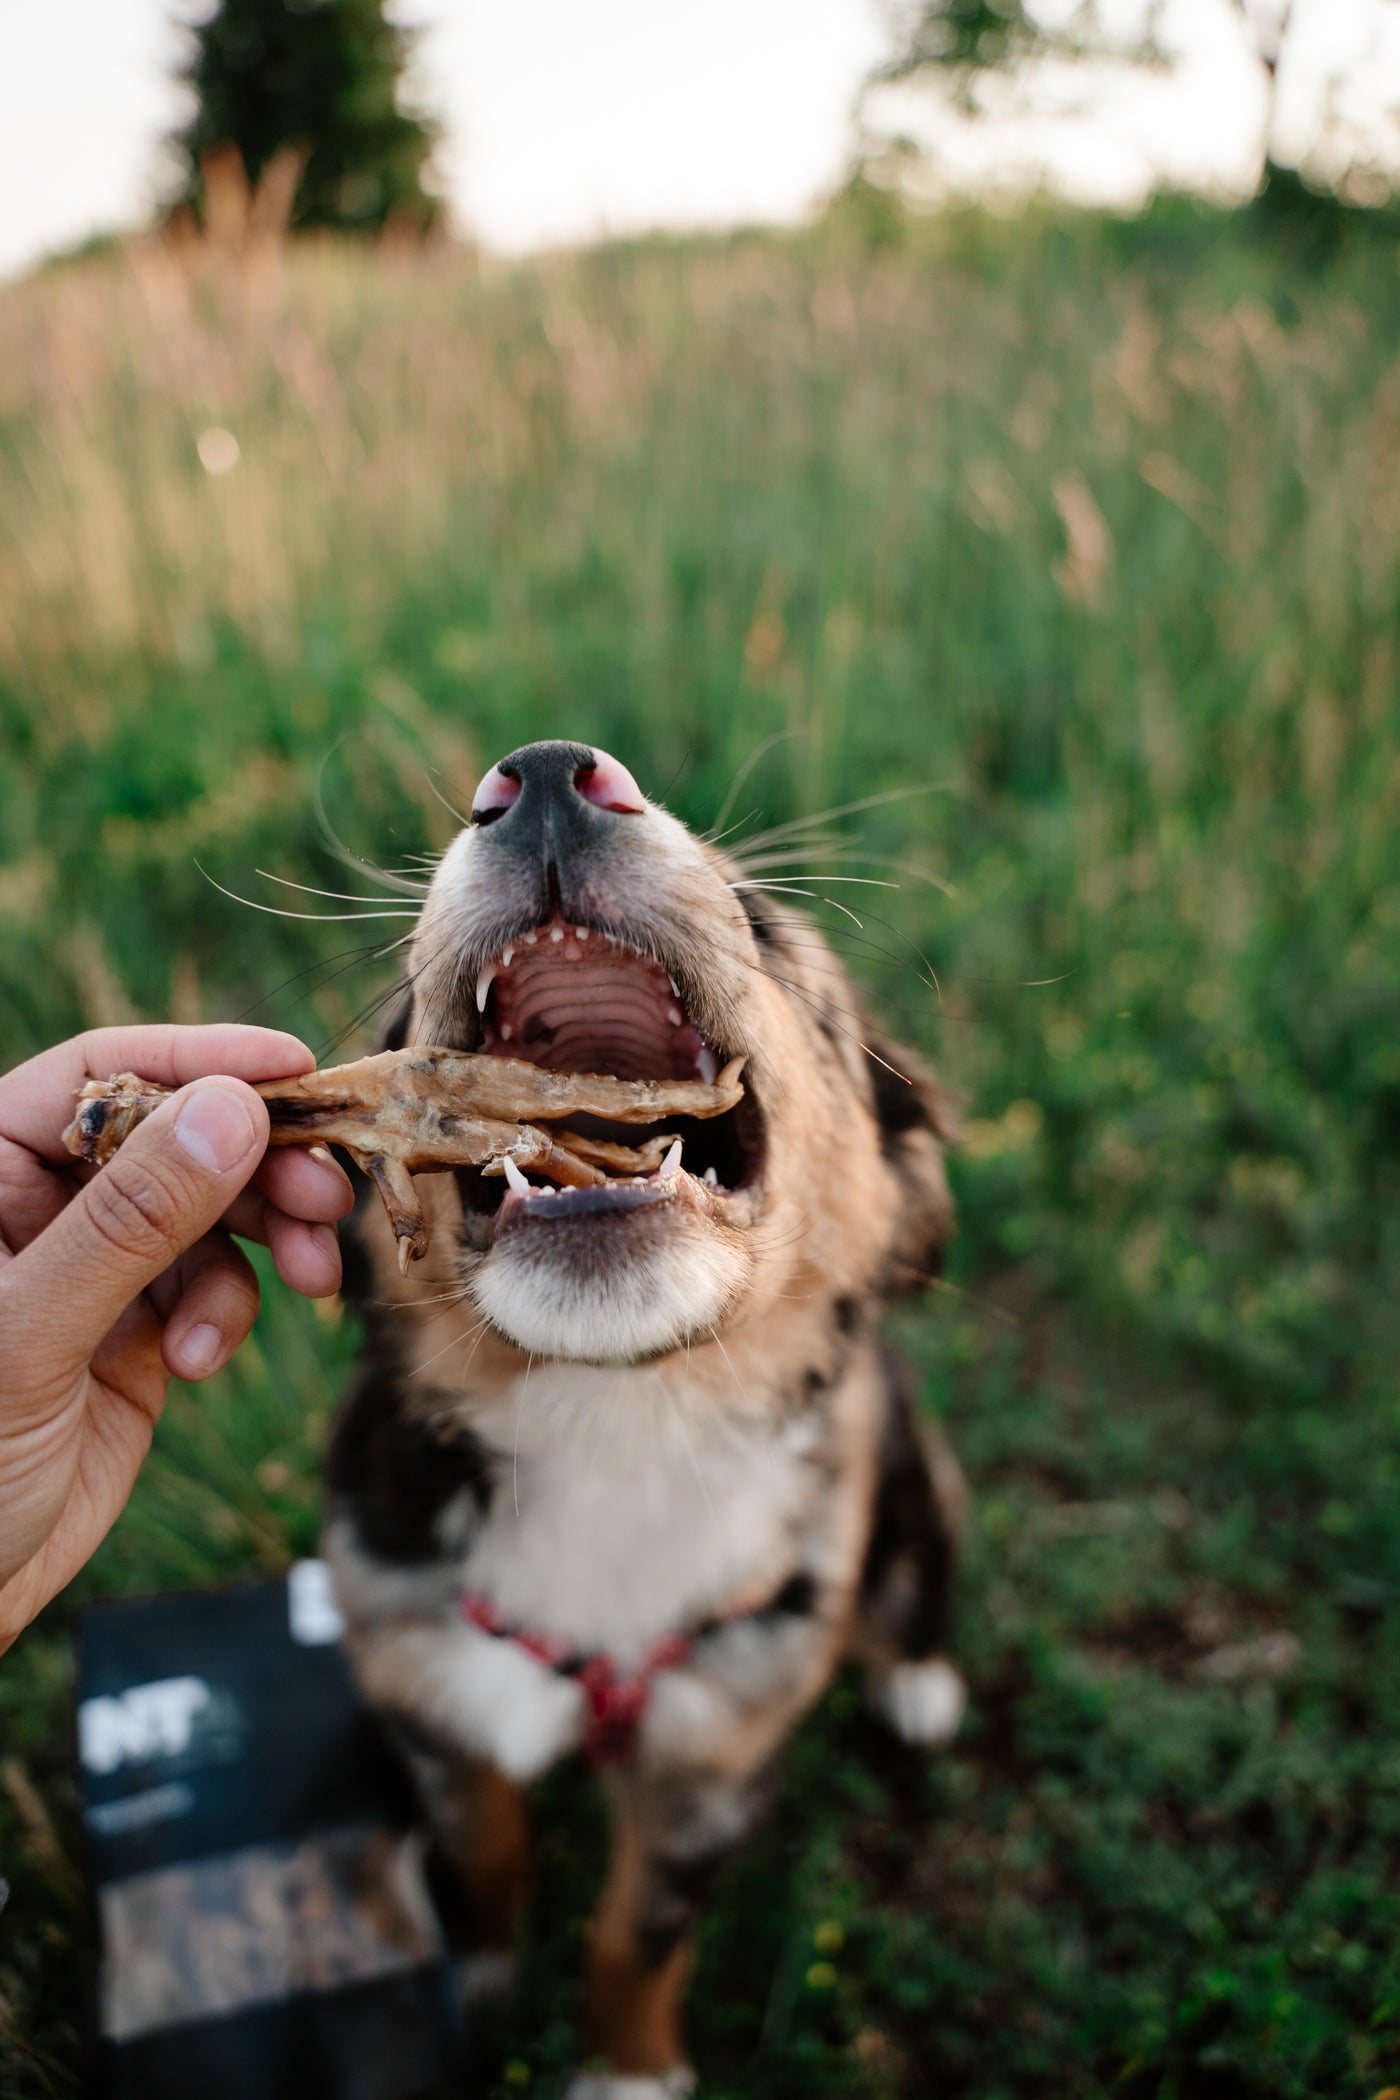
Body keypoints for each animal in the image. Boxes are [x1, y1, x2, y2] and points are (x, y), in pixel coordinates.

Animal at [323, 747, 969, 2091]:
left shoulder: (714, 1753)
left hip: (909, 1485)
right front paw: (480, 1975)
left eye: (764, 922)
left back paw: (918, 1684)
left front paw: (624, 2067)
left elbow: (638, 1931)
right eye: (401, 1016)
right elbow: (480, 1850)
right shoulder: (415, 1675)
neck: (619, 1417)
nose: (542, 776)